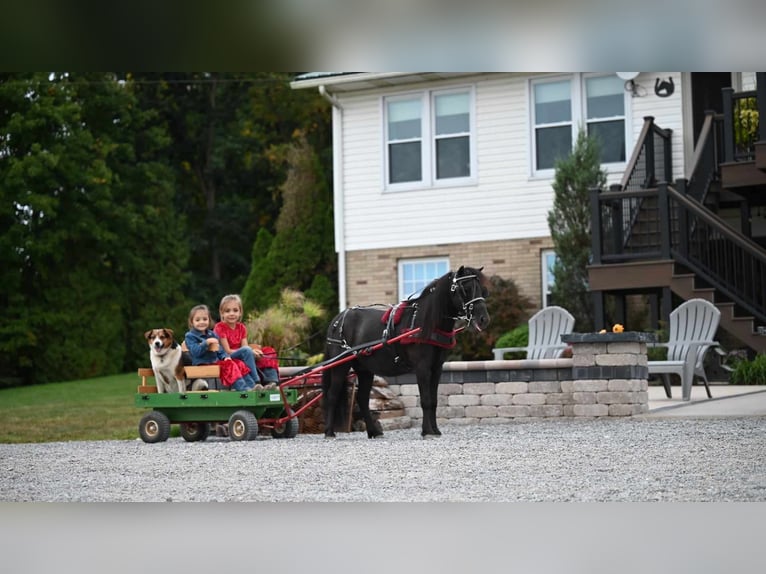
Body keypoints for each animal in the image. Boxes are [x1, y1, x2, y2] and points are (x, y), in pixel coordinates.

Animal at [322, 268, 492, 438]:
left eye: (483, 289)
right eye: (465, 288)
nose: (483, 319)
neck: (425, 323)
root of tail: (337, 320)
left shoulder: (436, 368)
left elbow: (434, 401)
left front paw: (435, 430)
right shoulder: (422, 367)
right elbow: (425, 400)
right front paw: (427, 431)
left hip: (365, 369)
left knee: (362, 398)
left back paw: (373, 431)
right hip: (340, 365)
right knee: (332, 395)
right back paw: (329, 432)